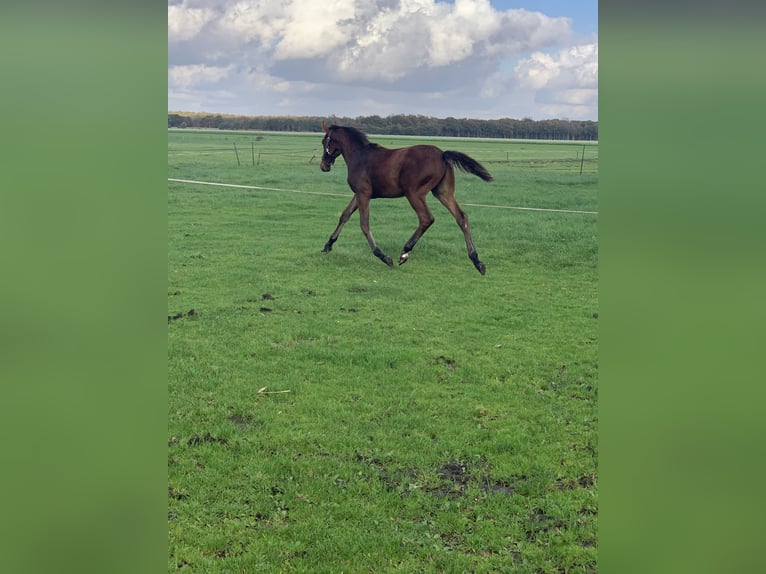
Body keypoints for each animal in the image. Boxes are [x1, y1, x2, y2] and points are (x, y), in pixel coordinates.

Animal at [320, 122, 496, 274]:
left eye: (324, 141)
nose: (324, 166)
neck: (359, 155)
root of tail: (442, 154)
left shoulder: (363, 194)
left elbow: (364, 224)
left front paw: (383, 256)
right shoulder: (359, 194)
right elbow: (345, 215)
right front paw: (328, 245)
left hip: (414, 193)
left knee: (426, 218)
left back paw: (404, 252)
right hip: (443, 192)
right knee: (461, 217)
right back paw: (477, 261)